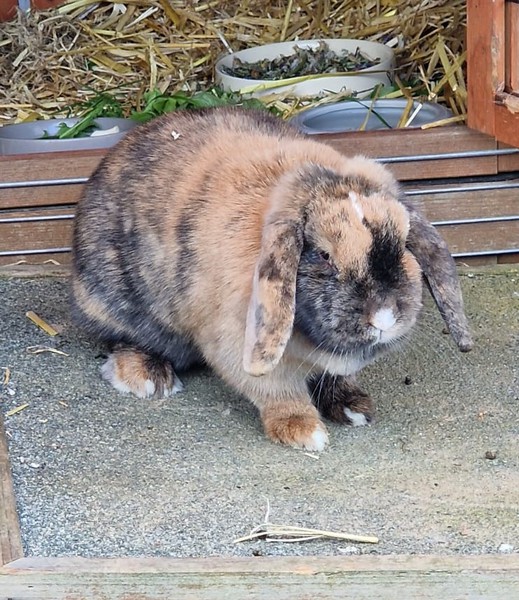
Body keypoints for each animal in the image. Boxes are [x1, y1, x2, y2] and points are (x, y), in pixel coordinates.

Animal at [71, 106, 473, 451]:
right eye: (324, 255)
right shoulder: (238, 344)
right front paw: (304, 433)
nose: (385, 317)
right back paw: (149, 378)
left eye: (403, 244)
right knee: (123, 340)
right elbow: (279, 393)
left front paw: (354, 408)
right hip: (116, 305)